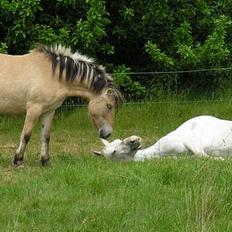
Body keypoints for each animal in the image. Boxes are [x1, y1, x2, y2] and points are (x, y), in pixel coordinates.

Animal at [94, 115, 232, 160]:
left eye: (119, 140)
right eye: (113, 151)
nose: (135, 139)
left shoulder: (191, 139)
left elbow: (202, 155)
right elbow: (202, 156)